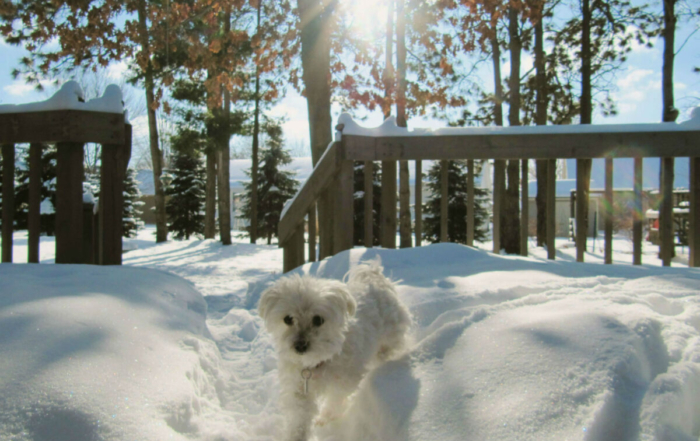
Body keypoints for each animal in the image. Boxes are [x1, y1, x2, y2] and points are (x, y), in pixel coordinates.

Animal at [258, 262, 410, 440]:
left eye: (318, 319)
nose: (300, 345)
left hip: (388, 341)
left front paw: (325, 419)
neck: (318, 360)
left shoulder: (343, 381)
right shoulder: (299, 388)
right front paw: (297, 436)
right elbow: (300, 417)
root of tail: (373, 276)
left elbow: (335, 401)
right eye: (288, 319)